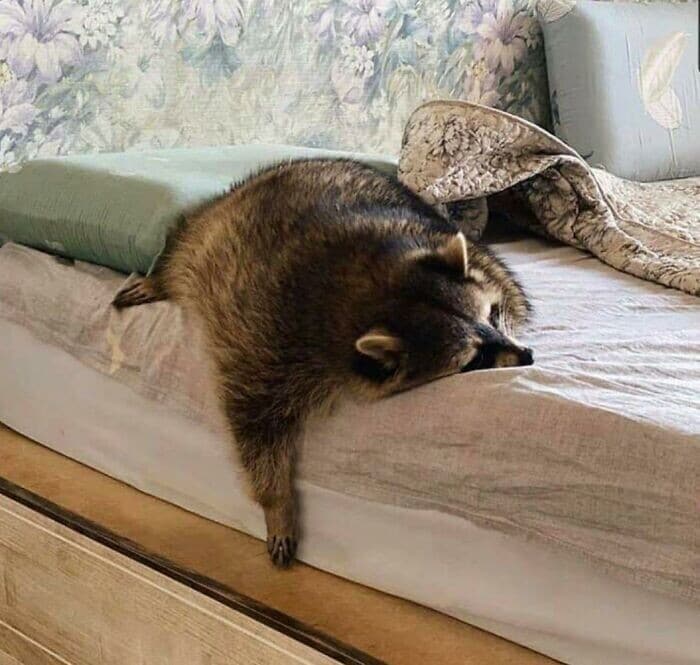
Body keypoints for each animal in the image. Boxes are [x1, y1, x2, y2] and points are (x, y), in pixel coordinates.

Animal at [113, 159, 533, 567]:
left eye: (493, 315)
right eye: (475, 358)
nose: (528, 356)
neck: (370, 283)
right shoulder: (262, 334)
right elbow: (252, 423)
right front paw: (277, 502)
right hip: (214, 227)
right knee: (187, 246)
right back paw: (162, 277)